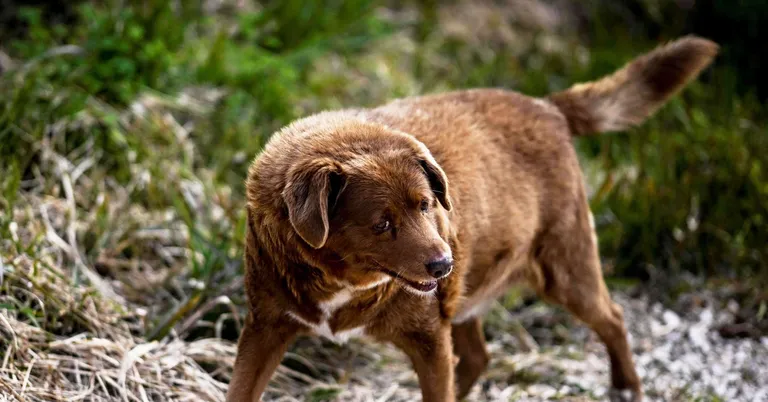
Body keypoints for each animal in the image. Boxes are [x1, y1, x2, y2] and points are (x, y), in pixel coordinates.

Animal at [225, 36, 716, 400]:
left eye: (427, 205)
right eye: (382, 223)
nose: (444, 265)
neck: (341, 282)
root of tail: (548, 106)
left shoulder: (429, 340)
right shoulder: (265, 328)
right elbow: (241, 388)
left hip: (564, 267)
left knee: (612, 317)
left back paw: (626, 386)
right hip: (472, 292)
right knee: (479, 357)